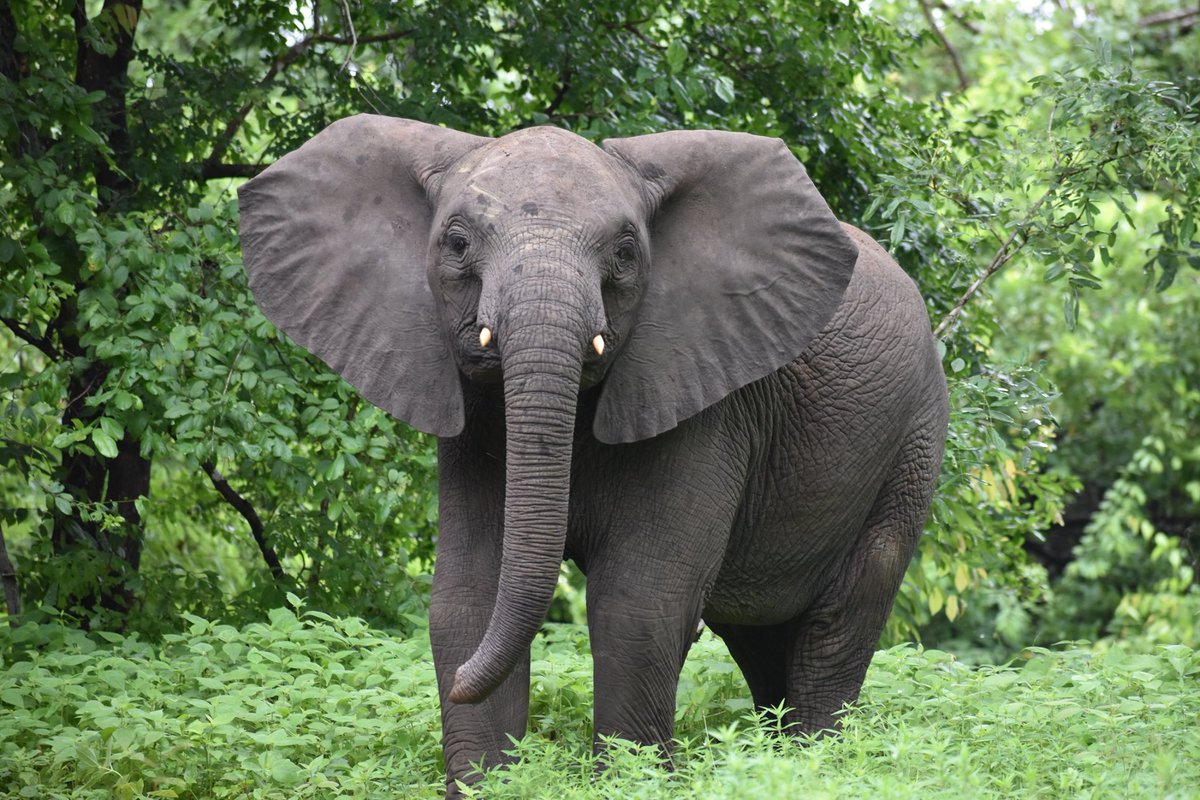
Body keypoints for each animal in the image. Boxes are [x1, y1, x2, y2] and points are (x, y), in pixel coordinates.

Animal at [237, 114, 948, 796]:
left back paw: (814, 761)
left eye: (627, 253)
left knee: (837, 624)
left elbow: (638, 605)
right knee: (763, 640)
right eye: (458, 244)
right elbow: (468, 598)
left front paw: (634, 783)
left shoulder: (702, 397)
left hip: (913, 442)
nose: (462, 682)